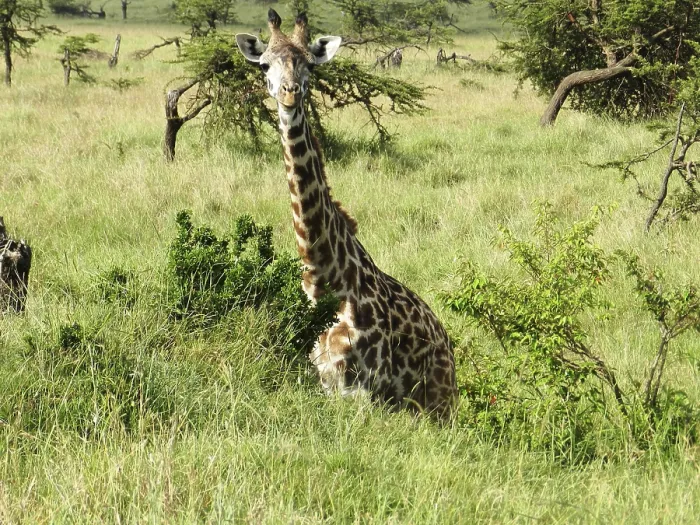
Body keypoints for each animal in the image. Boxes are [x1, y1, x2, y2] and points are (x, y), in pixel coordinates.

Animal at [236, 9, 458, 420]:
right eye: (264, 65)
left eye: (309, 63)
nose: (289, 93)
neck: (325, 273)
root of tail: (447, 343)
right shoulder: (316, 381)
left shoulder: (359, 392)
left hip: (435, 405)